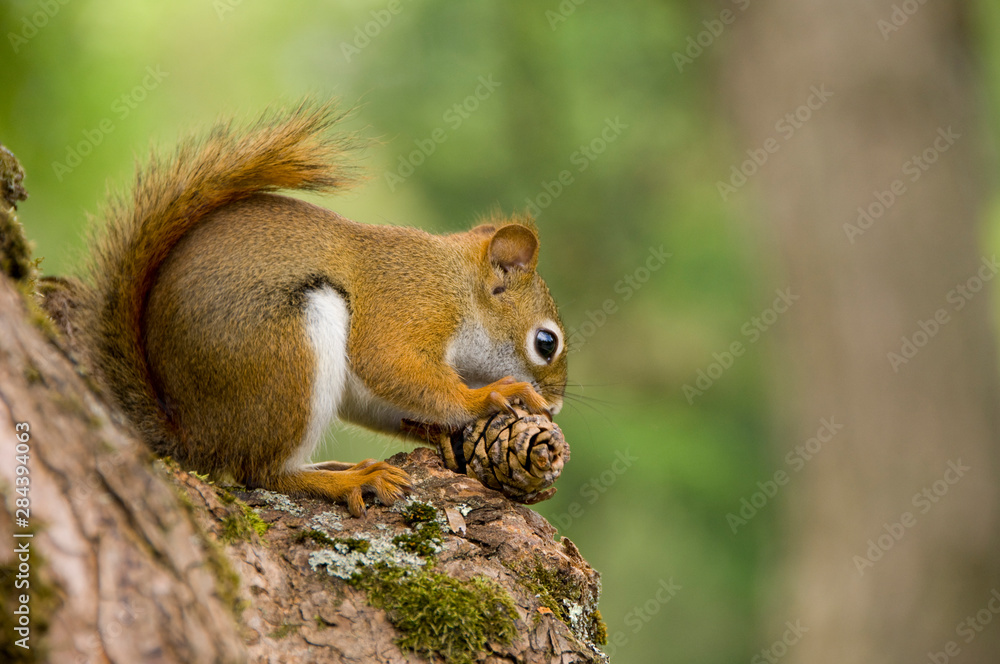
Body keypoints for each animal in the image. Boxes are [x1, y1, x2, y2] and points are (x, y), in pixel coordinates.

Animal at [76, 102, 572, 520]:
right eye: (546, 342)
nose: (556, 408)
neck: (458, 285)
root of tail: (191, 435)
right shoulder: (409, 305)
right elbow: (390, 363)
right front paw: (490, 396)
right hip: (288, 351)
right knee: (261, 472)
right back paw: (350, 480)